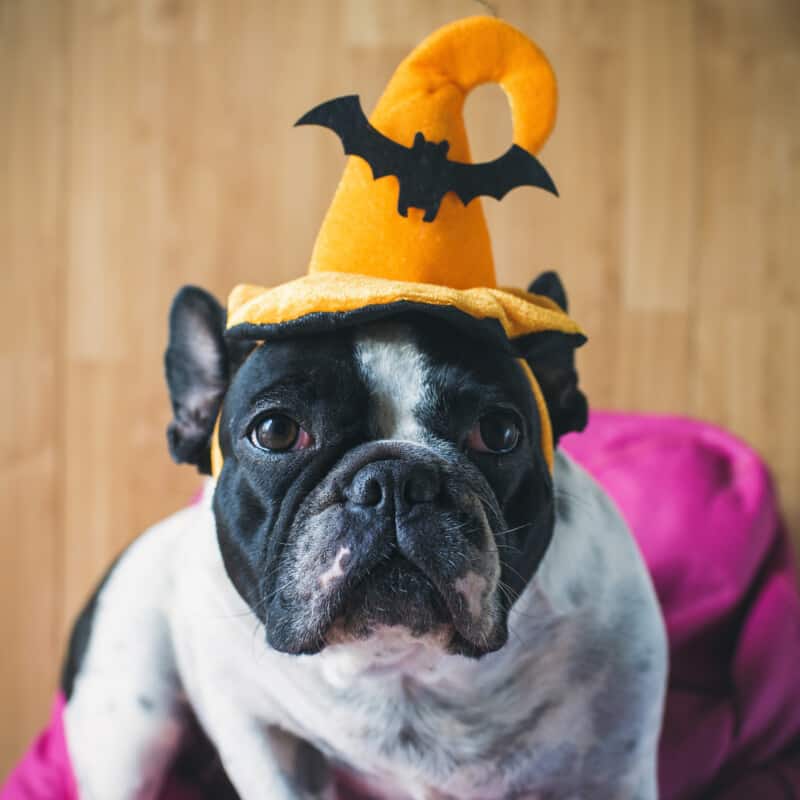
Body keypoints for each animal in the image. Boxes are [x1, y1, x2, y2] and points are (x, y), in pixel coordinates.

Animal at [59, 272, 664, 796]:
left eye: (499, 432)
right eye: (275, 431)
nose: (395, 480)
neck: (400, 664)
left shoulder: (618, 765)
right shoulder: (256, 730)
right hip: (129, 723)